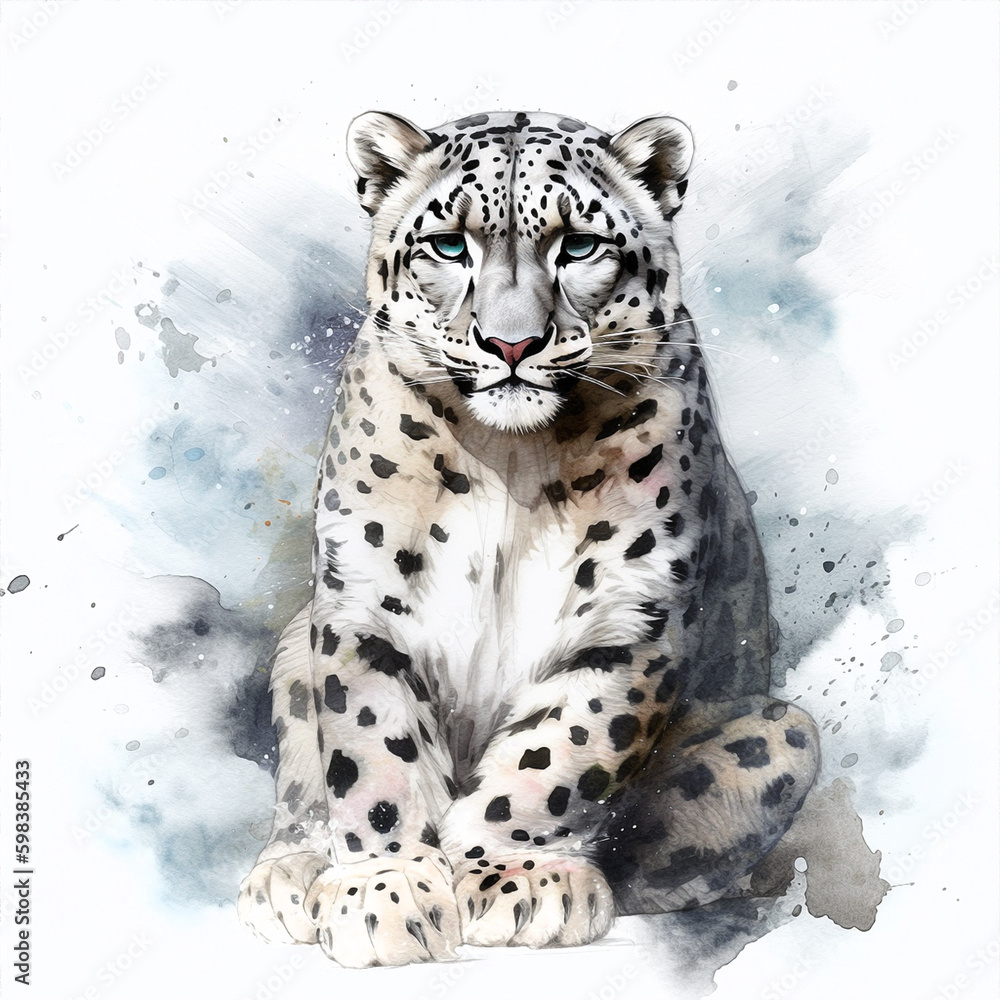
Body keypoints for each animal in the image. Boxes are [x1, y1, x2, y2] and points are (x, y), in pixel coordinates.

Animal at [237, 109, 820, 967]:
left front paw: (517, 877)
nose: (511, 344)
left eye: (577, 245)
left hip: (781, 732)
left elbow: (558, 755)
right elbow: (372, 749)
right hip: (292, 650)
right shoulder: (363, 605)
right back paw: (288, 873)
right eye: (450, 245)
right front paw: (384, 889)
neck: (509, 460)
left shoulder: (629, 616)